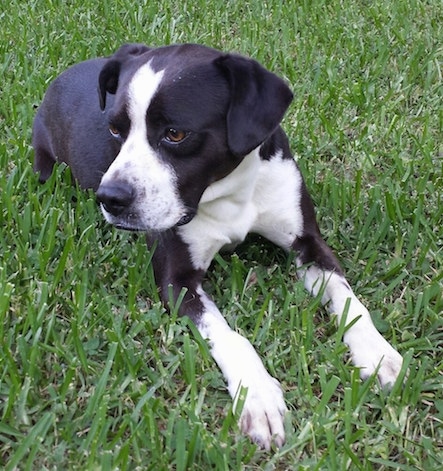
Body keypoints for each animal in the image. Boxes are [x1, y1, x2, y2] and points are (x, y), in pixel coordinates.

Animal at [33, 43, 404, 450]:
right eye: (115, 129)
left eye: (176, 134)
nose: (110, 198)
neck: (230, 193)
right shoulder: (177, 280)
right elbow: (229, 335)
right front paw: (257, 395)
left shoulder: (308, 243)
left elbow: (347, 298)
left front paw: (376, 351)